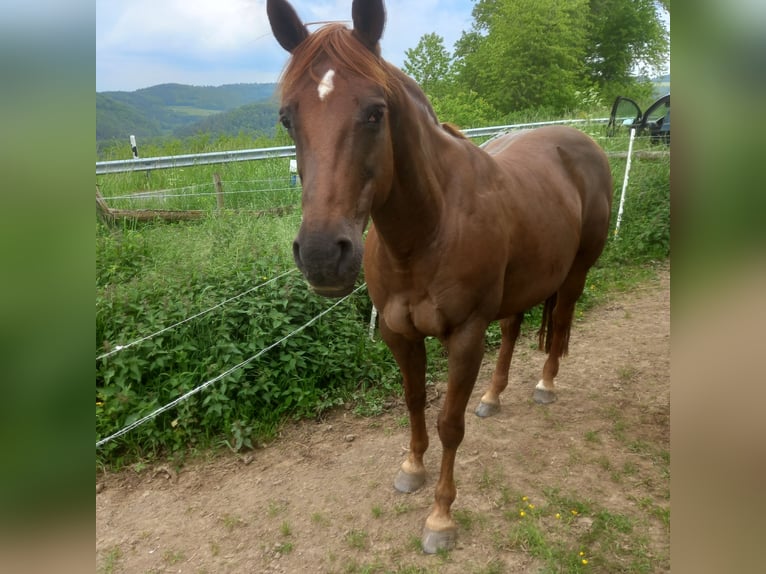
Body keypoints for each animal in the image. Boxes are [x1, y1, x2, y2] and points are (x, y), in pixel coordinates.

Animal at [268, 0, 616, 560]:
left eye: (375, 112)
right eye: (287, 117)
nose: (322, 255)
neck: (427, 231)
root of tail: (581, 140)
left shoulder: (466, 335)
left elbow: (449, 423)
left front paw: (440, 517)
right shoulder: (398, 333)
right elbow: (413, 402)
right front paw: (411, 468)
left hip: (577, 273)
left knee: (560, 322)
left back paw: (544, 385)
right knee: (514, 330)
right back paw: (493, 399)